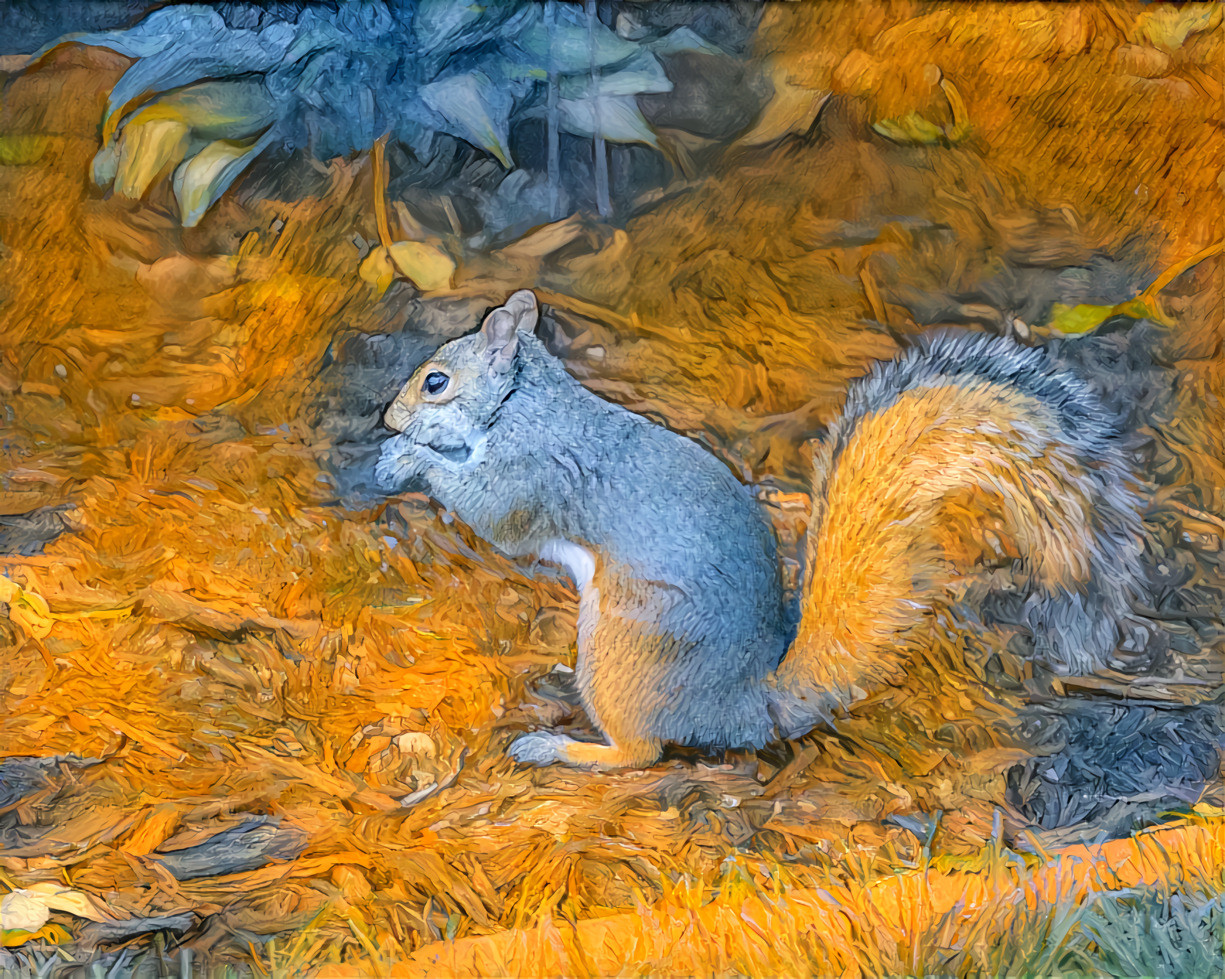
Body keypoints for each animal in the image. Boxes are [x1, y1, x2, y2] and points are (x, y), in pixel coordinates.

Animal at [374, 286, 1146, 769]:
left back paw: (560, 749)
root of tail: (746, 707)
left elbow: (494, 516)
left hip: (628, 645)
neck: (519, 404)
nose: (386, 415)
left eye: (436, 382)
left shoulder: (534, 473)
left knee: (640, 754)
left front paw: (408, 458)